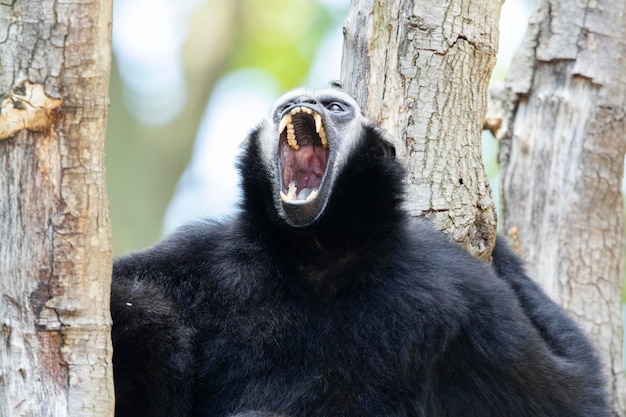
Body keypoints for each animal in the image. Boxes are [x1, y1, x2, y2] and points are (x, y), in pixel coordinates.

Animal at [109, 86, 608, 414]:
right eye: (284, 108)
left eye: (334, 107)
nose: (300, 105)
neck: (317, 255)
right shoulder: (208, 255)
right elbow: (128, 289)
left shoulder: (456, 285)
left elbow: (574, 394)